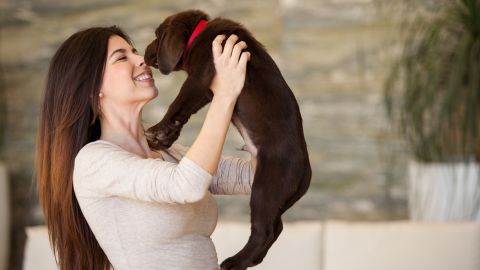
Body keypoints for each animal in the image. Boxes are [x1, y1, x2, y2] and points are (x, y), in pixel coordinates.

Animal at [143, 9, 312, 268]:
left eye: (157, 36)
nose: (142, 53)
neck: (199, 33)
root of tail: (306, 172)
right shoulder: (209, 90)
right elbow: (184, 113)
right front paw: (164, 137)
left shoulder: (200, 77)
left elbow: (178, 104)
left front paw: (157, 131)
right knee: (277, 226)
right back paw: (252, 259)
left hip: (266, 188)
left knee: (265, 230)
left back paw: (235, 261)